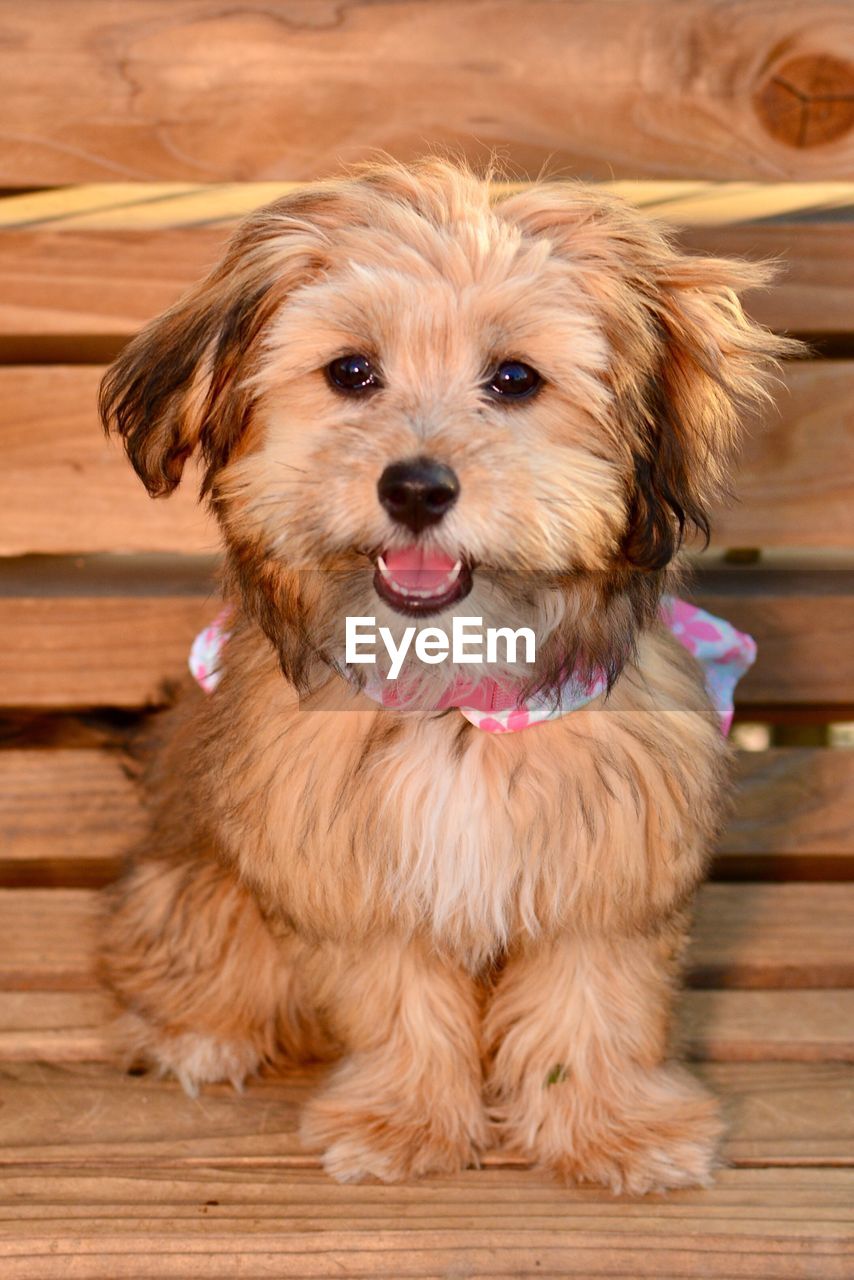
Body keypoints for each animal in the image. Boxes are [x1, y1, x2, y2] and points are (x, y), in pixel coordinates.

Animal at [95, 157, 793, 1187]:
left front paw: (609, 1126)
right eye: (351, 372)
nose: (417, 488)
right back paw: (200, 1034)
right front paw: (407, 1120)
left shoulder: (607, 853)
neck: (456, 694)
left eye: (515, 379)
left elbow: (594, 998)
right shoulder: (350, 862)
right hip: (198, 879)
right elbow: (397, 998)